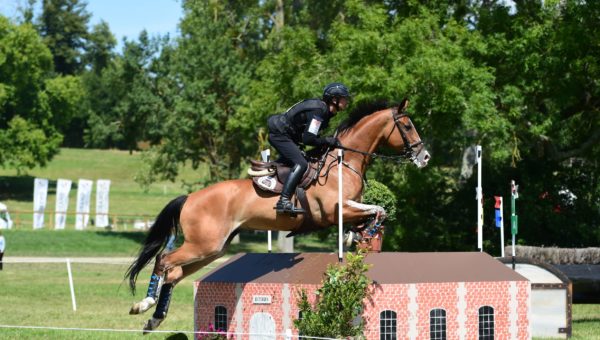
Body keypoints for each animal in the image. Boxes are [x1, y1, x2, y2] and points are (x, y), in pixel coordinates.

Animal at [126, 98, 428, 332]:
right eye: (408, 126)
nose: (424, 157)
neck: (345, 163)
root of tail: (189, 198)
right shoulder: (337, 209)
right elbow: (378, 210)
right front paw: (364, 234)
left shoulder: (348, 210)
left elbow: (375, 213)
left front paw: (359, 236)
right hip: (203, 245)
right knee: (164, 260)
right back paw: (145, 304)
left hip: (212, 249)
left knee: (174, 273)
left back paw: (154, 318)